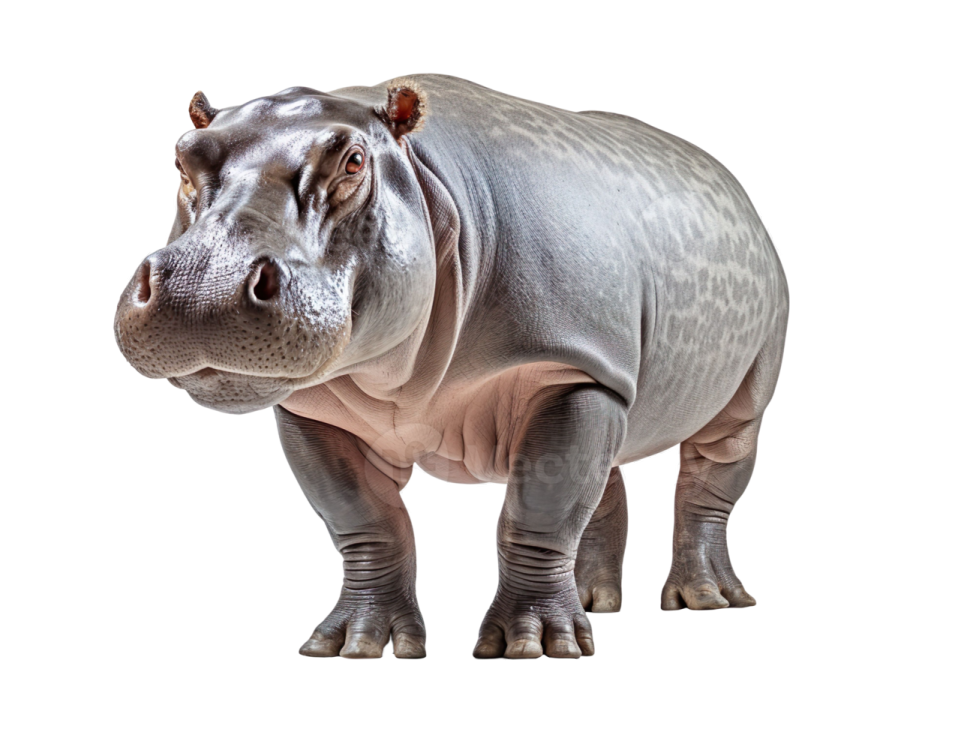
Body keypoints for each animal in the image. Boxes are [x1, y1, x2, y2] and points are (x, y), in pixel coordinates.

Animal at [113, 72, 789, 660]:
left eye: (353, 162)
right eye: (182, 158)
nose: (201, 289)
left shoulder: (568, 368)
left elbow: (538, 512)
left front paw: (534, 647)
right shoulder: (316, 412)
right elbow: (365, 521)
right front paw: (358, 647)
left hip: (732, 383)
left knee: (713, 474)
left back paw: (706, 601)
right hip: (616, 380)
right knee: (604, 480)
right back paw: (595, 603)